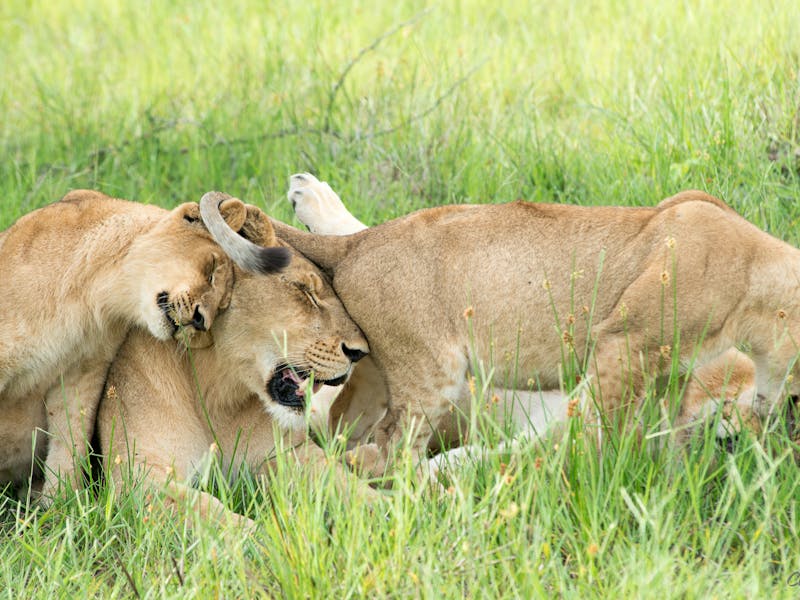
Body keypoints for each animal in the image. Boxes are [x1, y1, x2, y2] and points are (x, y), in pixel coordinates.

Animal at [0, 190, 288, 500]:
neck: (93, 295)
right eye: (211, 269)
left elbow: (70, 442)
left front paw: (60, 503)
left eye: (222, 305)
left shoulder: (84, 370)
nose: (200, 321)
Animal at [97, 193, 376, 528]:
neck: (218, 391)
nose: (359, 351)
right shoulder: (138, 476)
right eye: (305, 291)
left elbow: (346, 487)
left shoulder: (286, 454)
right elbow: (212, 515)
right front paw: (265, 538)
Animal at [242, 175, 792, 478]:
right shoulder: (624, 341)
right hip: (430, 357)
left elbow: (537, 450)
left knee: (357, 430)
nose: (735, 441)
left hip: (384, 373)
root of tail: (358, 255)